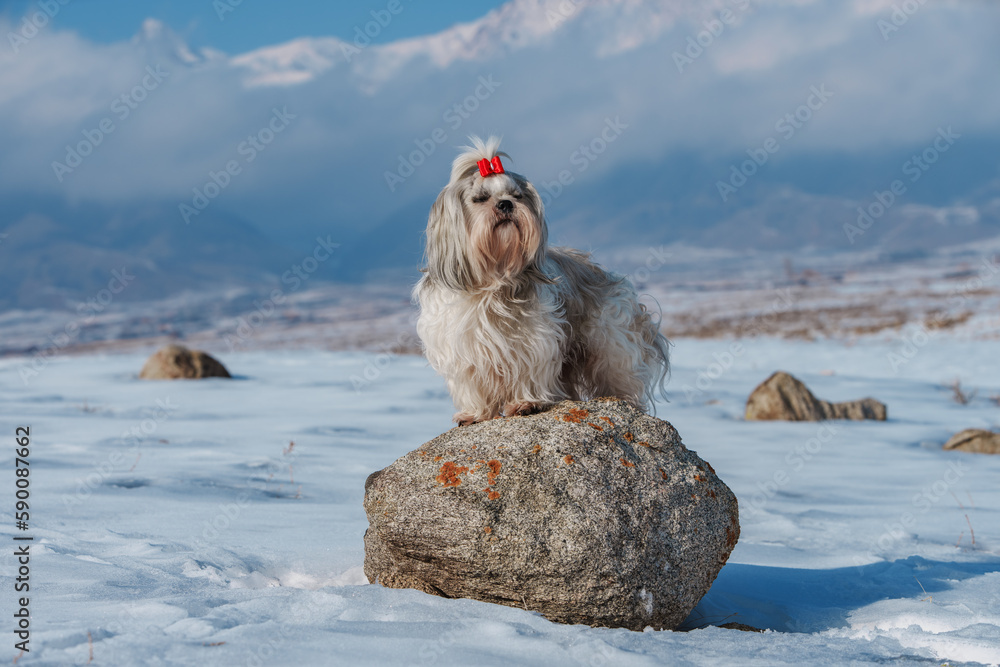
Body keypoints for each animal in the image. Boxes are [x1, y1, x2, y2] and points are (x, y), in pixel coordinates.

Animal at [414, 138, 672, 426]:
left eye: (516, 195)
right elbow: (471, 382)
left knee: (620, 373)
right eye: (479, 198)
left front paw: (526, 402)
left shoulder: (535, 338)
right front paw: (474, 412)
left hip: (611, 343)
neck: (493, 278)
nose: (505, 204)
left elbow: (529, 368)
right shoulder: (462, 345)